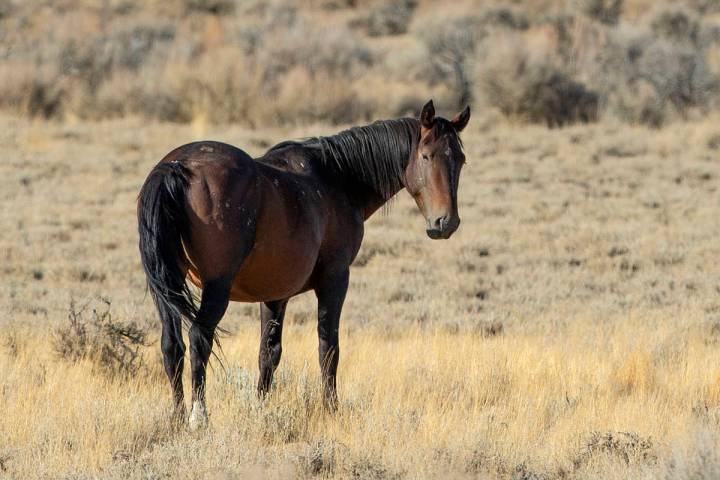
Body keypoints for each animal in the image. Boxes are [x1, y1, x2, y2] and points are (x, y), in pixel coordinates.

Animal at [137, 100, 470, 430]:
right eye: (426, 156)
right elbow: (328, 347)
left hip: (167, 285)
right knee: (198, 338)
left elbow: (268, 353)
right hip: (216, 287)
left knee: (172, 345)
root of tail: (177, 167)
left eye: (461, 160)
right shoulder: (335, 280)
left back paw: (178, 417)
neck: (337, 180)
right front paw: (331, 409)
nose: (446, 223)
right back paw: (198, 417)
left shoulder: (274, 294)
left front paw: (262, 408)